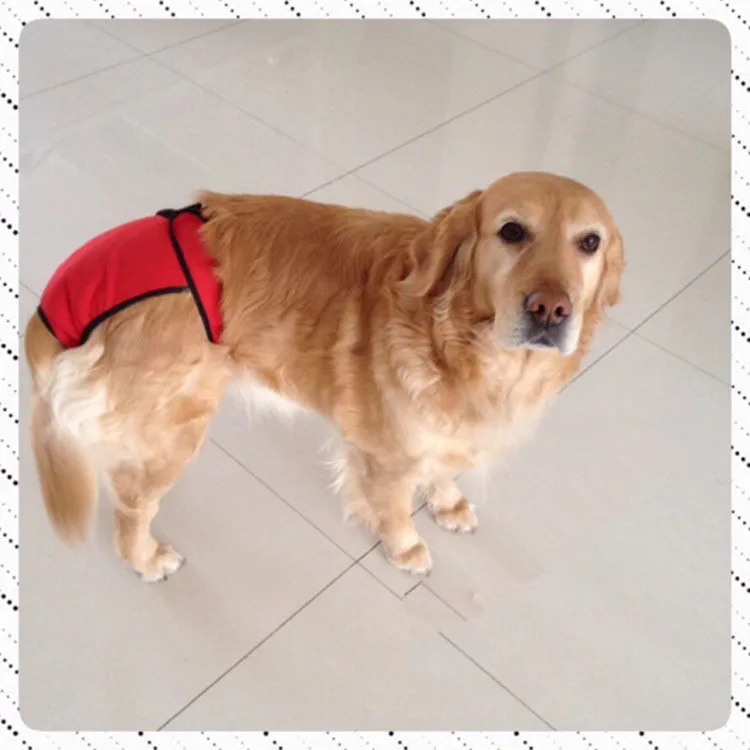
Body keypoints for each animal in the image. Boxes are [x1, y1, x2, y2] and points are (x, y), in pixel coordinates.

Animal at [24, 172, 623, 582]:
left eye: (589, 242)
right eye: (512, 231)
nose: (551, 309)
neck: (457, 335)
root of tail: (56, 303)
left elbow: (445, 465)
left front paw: (448, 502)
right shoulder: (386, 454)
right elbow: (395, 505)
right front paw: (405, 547)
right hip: (176, 426)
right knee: (131, 502)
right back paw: (145, 558)